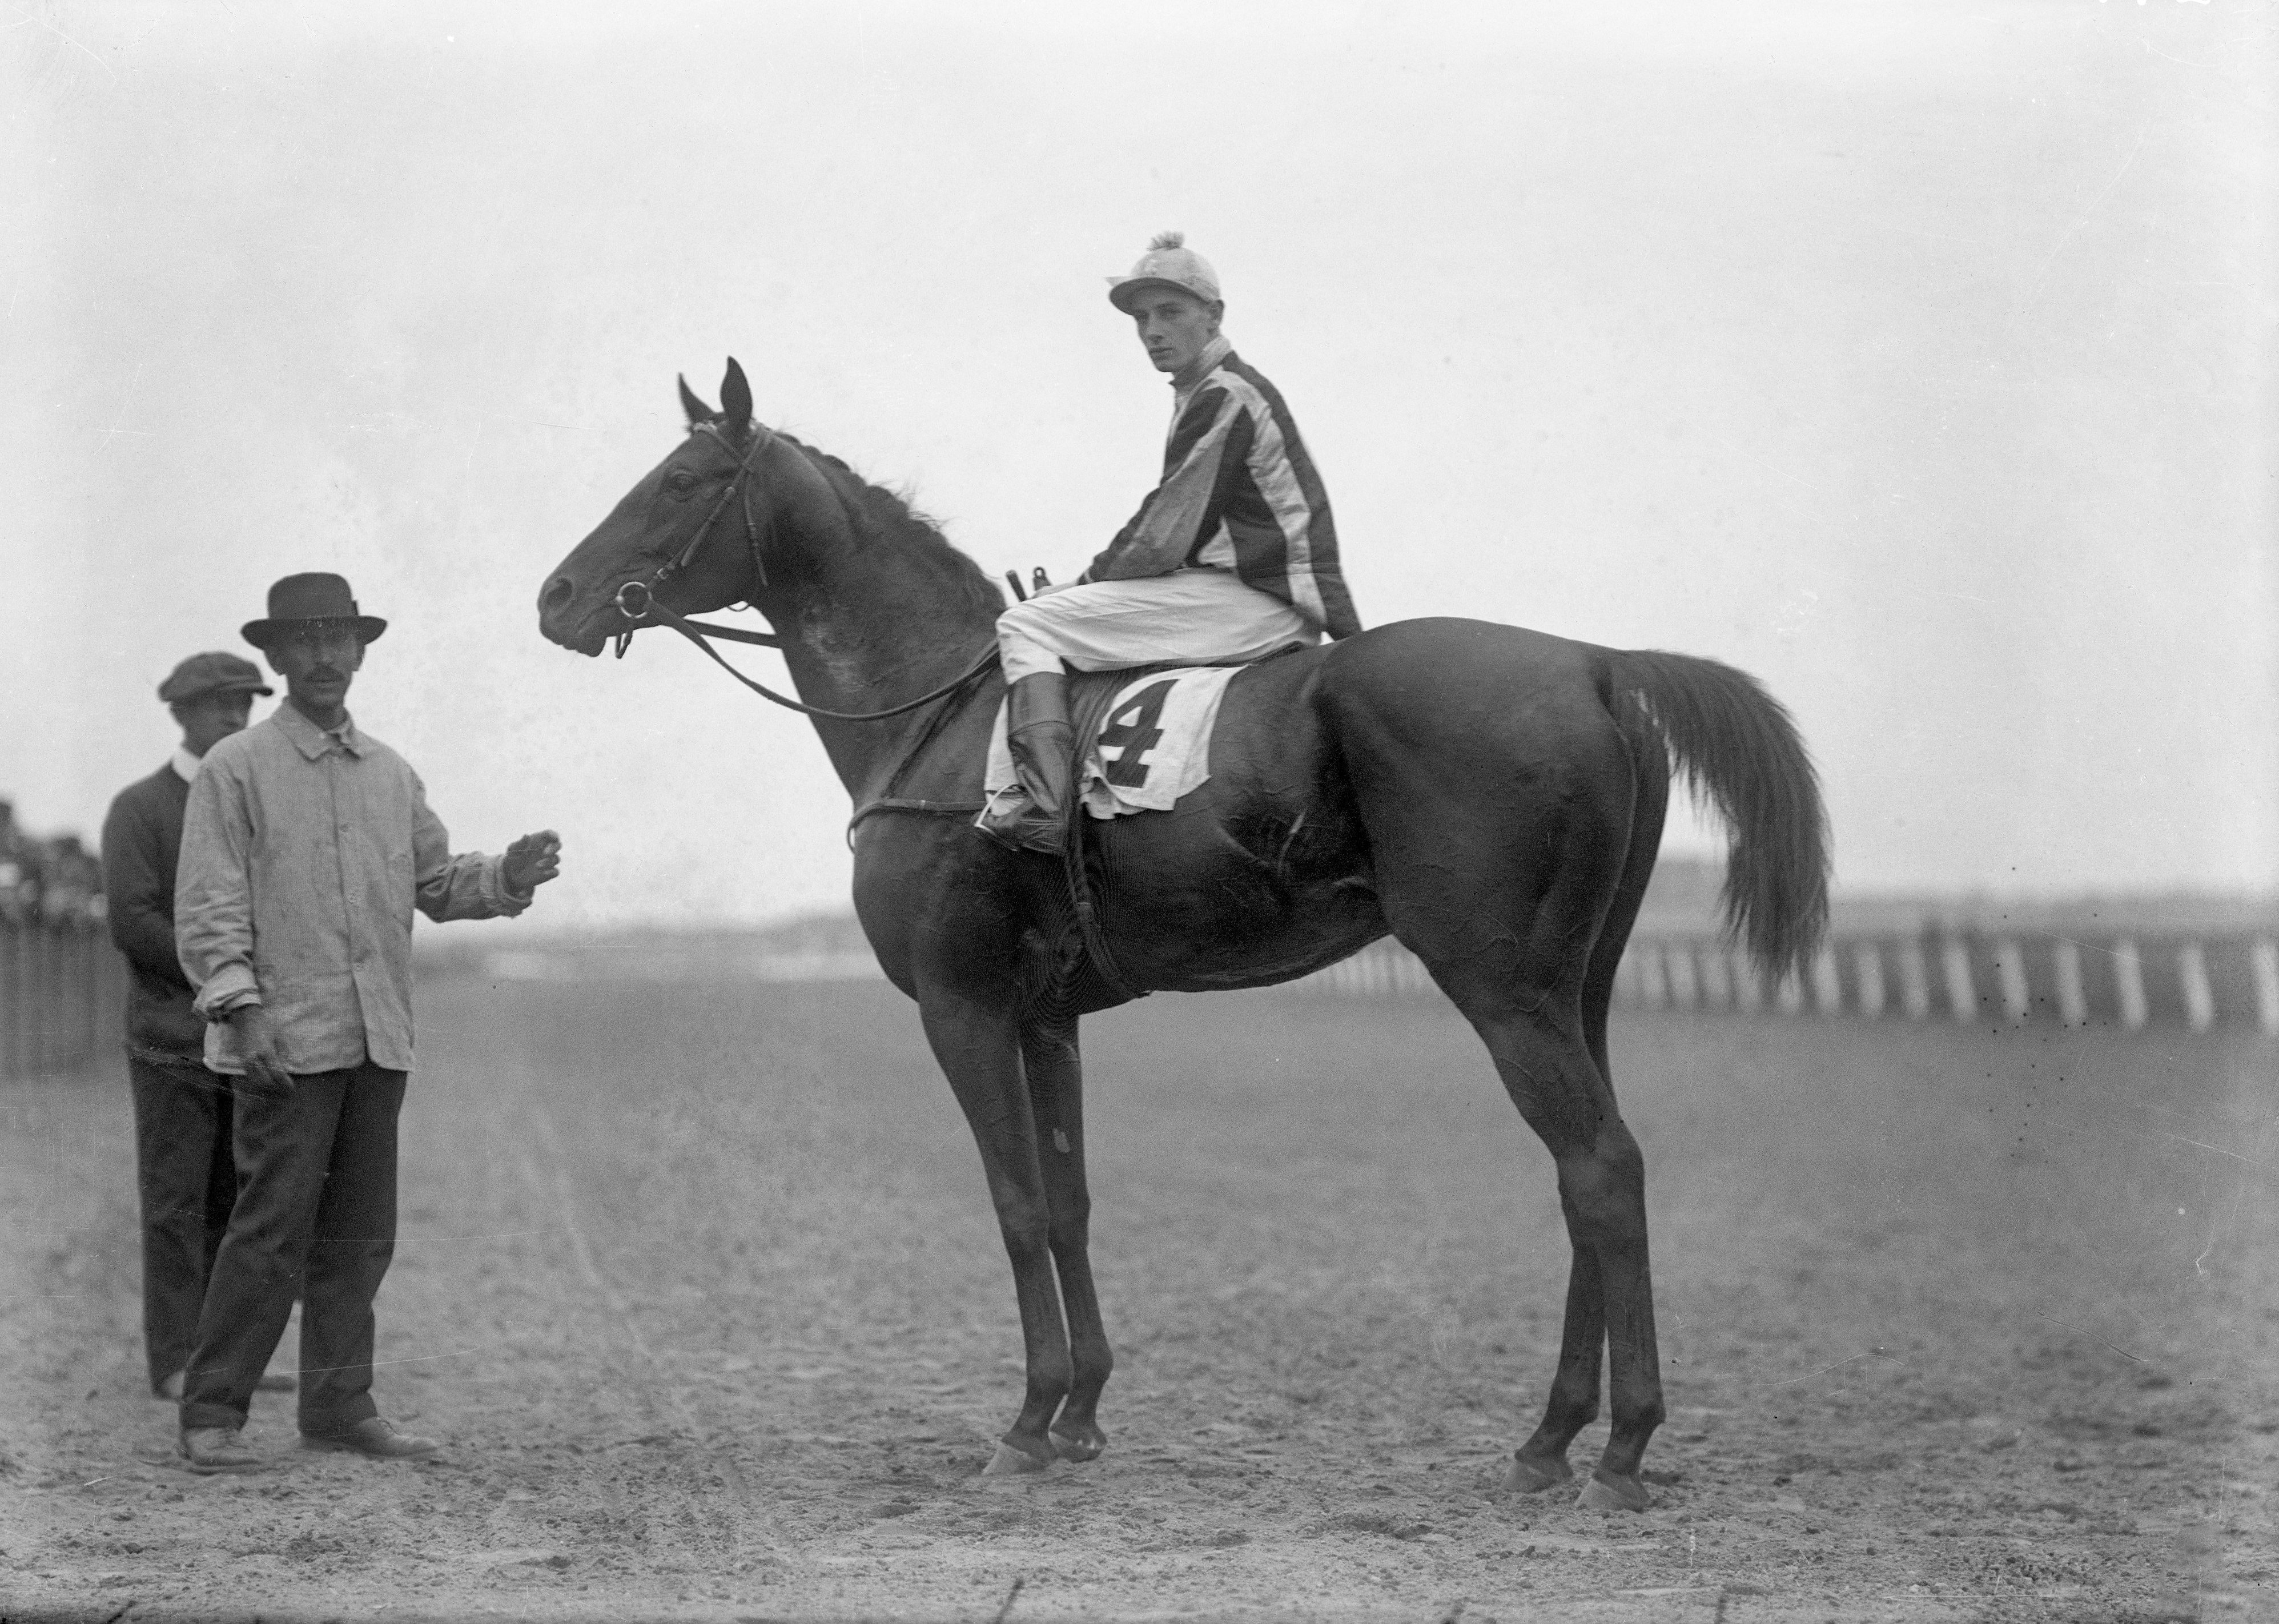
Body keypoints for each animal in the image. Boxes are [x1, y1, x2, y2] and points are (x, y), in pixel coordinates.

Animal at [533, 362, 1832, 1512]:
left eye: (681, 477)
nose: (555, 596)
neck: (939, 712)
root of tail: (1597, 664)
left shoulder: (962, 1006)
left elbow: (1013, 1201)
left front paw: (1024, 1425)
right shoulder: (1046, 1018)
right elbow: (1068, 1200)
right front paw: (1079, 1415)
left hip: (1504, 989)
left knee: (1600, 1169)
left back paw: (1616, 1449)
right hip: (1581, 988)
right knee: (1588, 1175)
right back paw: (1553, 1440)